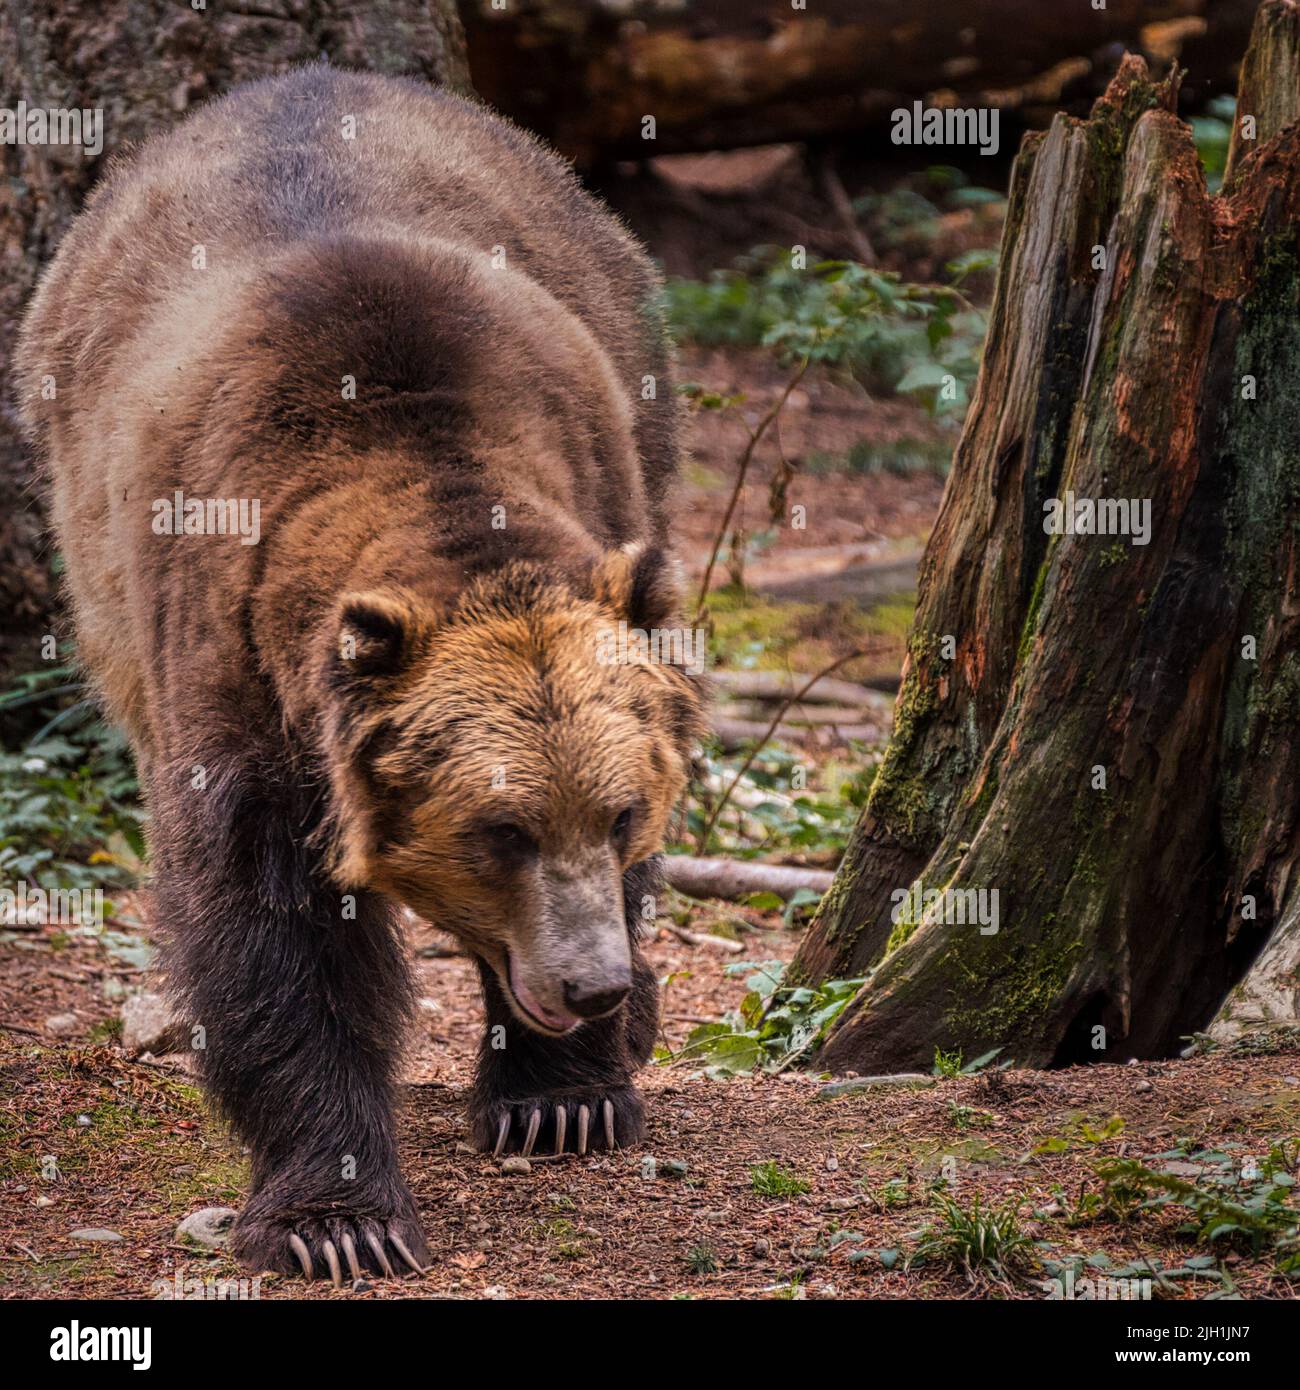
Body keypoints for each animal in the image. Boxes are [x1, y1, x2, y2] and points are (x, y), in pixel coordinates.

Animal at [15, 65, 706, 1278]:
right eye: (501, 829)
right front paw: (337, 1217)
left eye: (622, 813)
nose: (592, 984)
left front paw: (562, 1099)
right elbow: (269, 920)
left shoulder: (597, 472)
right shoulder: (239, 653)